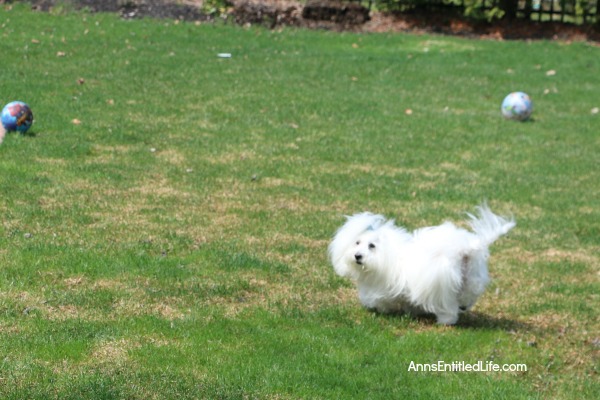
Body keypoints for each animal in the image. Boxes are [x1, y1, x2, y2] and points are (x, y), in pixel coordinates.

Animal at [328, 205, 516, 324]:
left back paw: (445, 321)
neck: (386, 255)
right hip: (472, 278)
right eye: (357, 242)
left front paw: (377, 308)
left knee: (448, 308)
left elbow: (378, 299)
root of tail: (464, 248)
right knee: (468, 296)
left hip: (441, 284)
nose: (357, 256)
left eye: (371, 246)